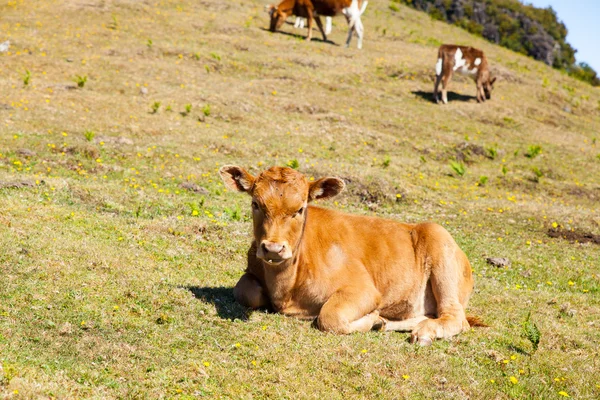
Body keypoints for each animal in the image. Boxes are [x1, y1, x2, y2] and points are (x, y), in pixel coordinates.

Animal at [218, 166, 480, 344]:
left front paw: (372, 319)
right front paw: (378, 321)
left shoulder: (364, 290)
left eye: (300, 209)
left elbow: (329, 317)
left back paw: (423, 332)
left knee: (456, 317)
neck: (285, 287)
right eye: (256, 204)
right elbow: (245, 290)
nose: (273, 248)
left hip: (441, 252)